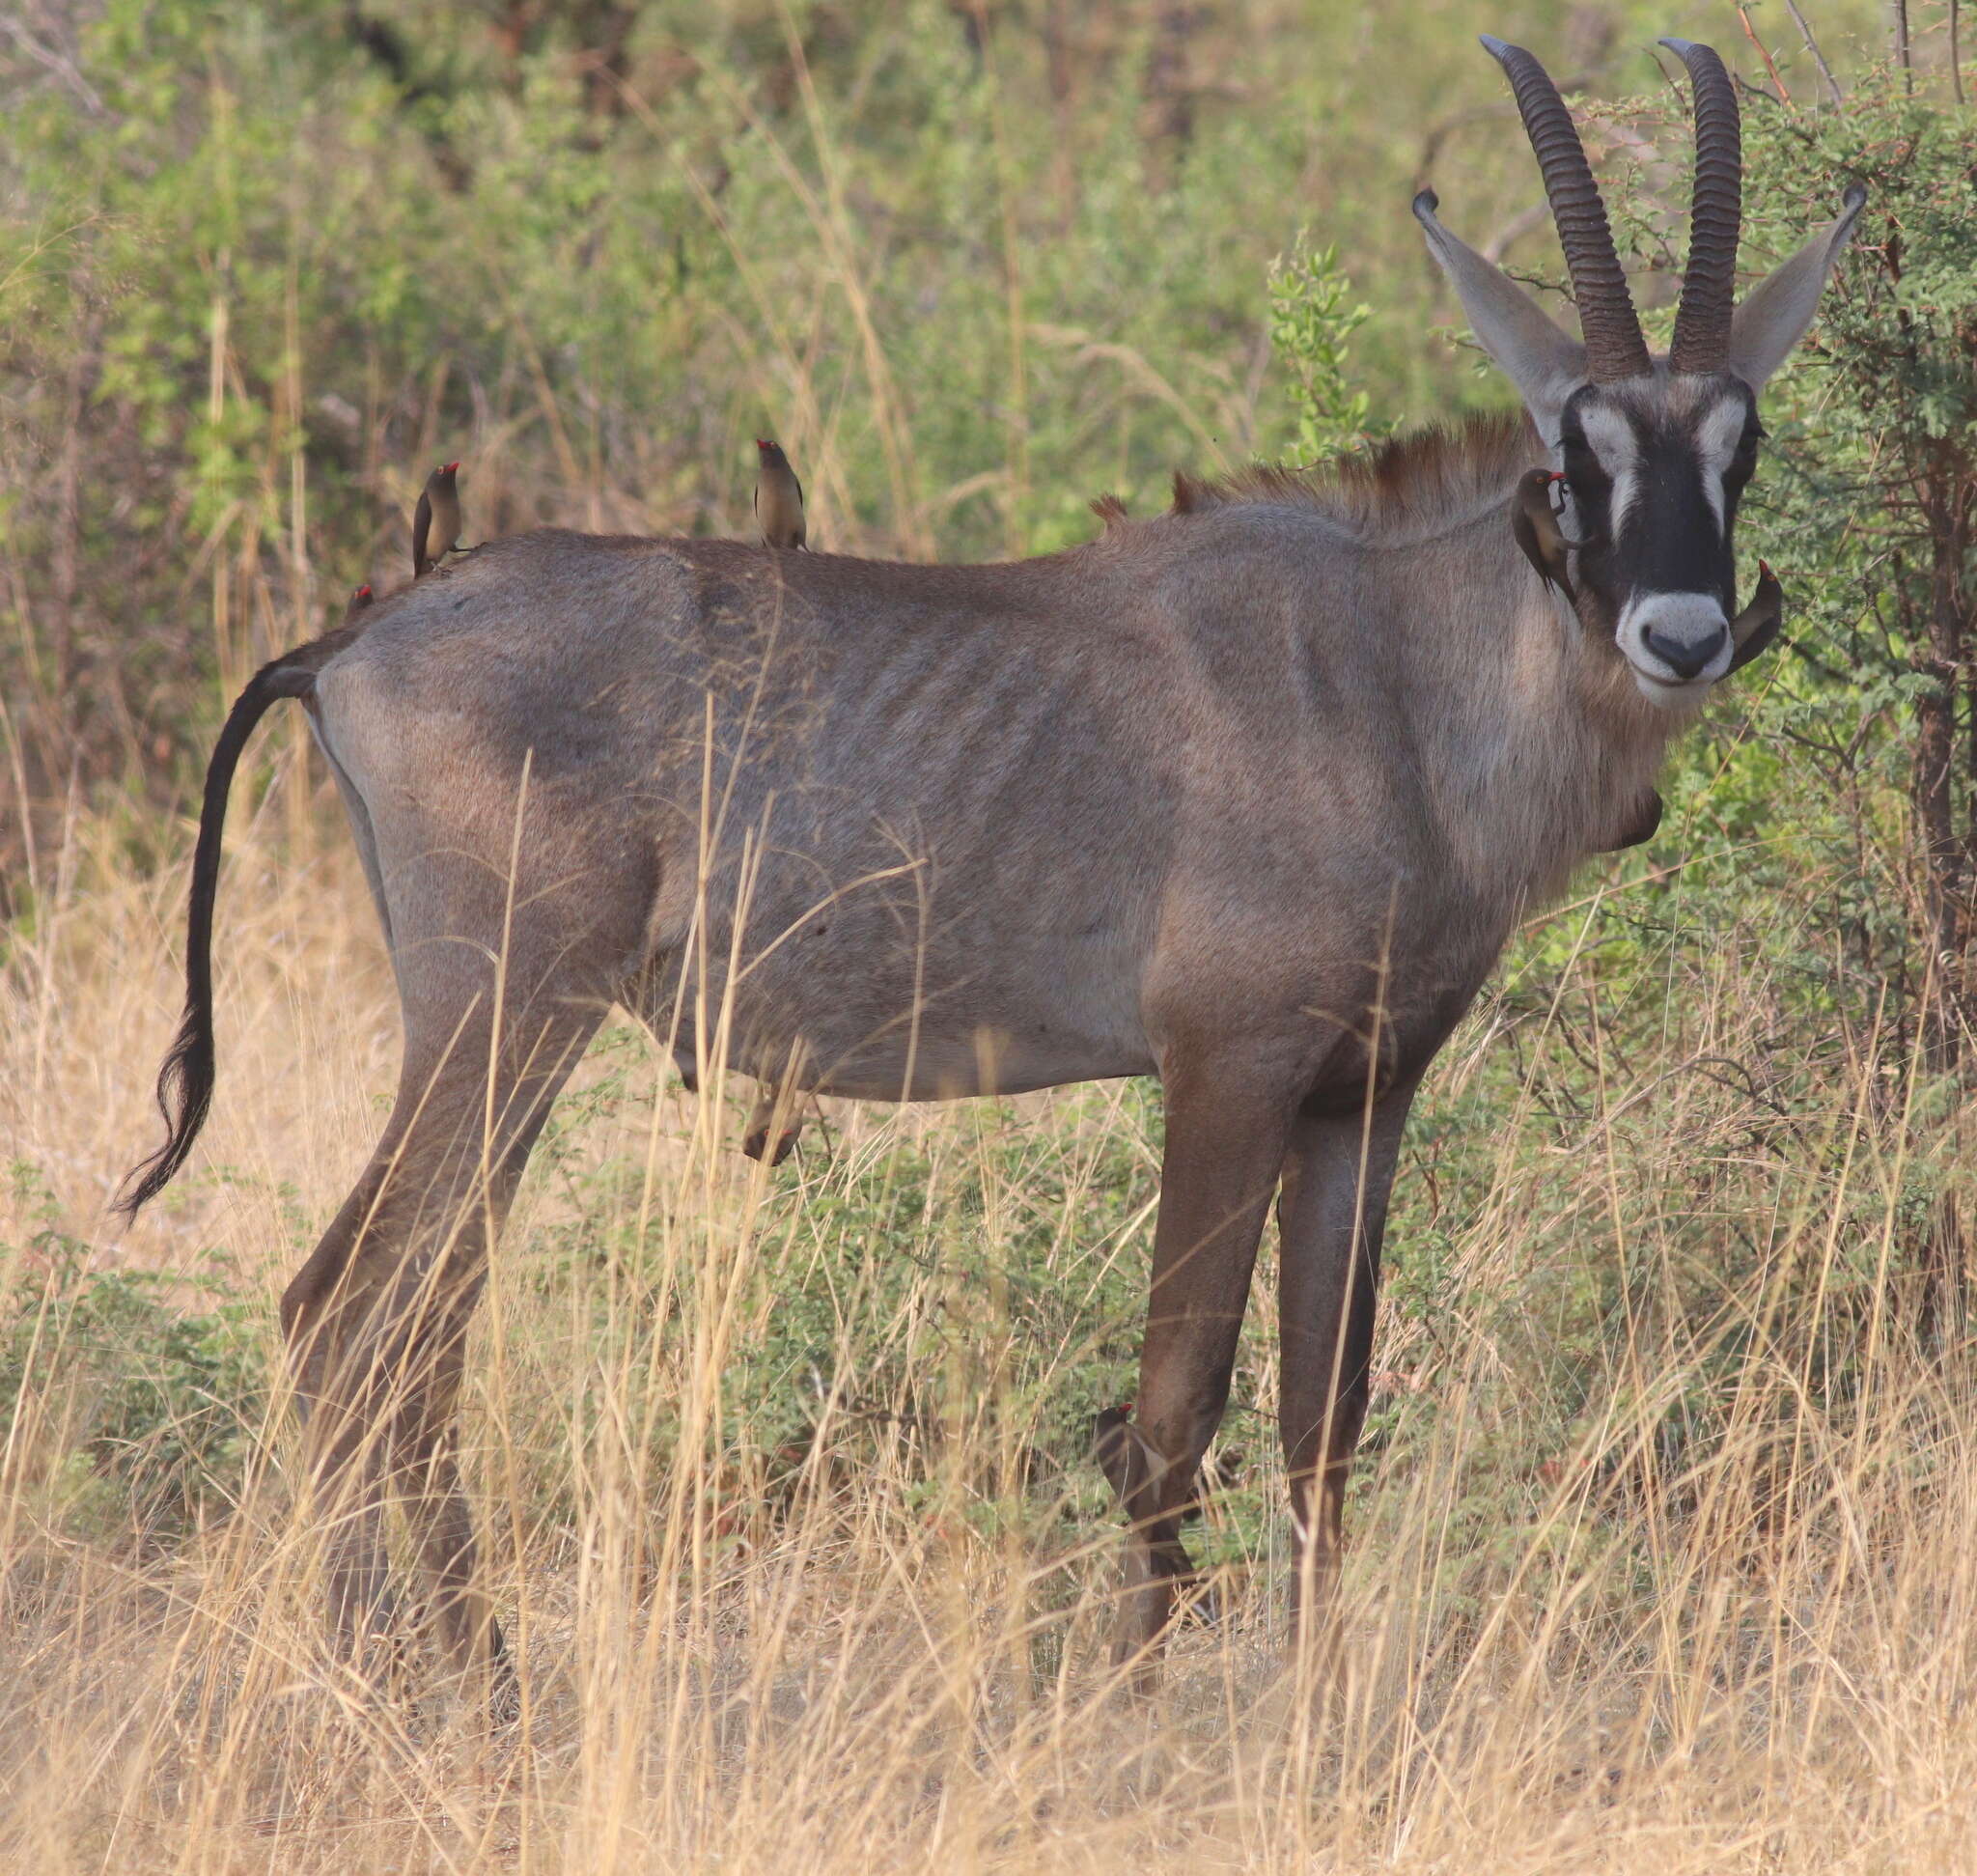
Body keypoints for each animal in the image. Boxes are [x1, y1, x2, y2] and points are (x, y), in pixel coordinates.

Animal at [124, 33, 1866, 1699]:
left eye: (1743, 445)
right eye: (1574, 453)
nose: (1682, 635)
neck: (1389, 672)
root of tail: (351, 641)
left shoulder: (1362, 1096)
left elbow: (1325, 1418)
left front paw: (1315, 1718)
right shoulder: (1224, 1069)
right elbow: (1174, 1408)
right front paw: (1132, 1711)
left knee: (405, 1329)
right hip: (502, 1018)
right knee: (354, 1311)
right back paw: (439, 1683)